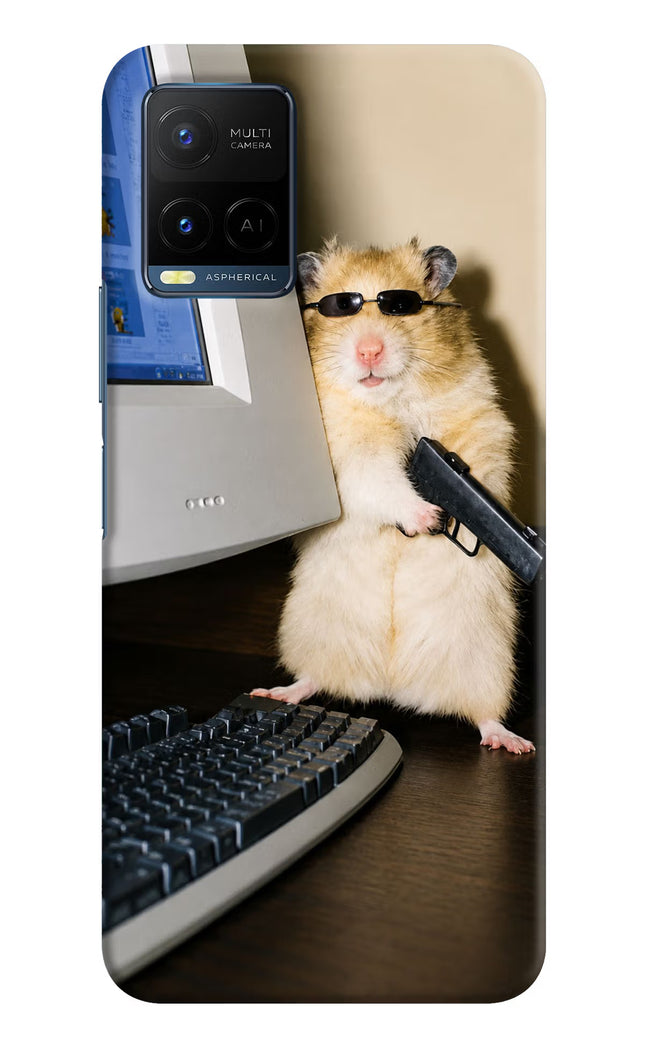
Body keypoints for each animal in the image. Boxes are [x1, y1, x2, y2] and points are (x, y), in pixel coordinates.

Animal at [252, 238, 534, 754]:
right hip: (311, 632)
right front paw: (428, 518)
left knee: (484, 714)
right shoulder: (348, 457)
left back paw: (512, 742)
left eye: (401, 306)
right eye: (340, 307)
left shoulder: (481, 424)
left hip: (488, 661)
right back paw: (277, 692)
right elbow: (380, 481)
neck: (389, 401)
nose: (369, 351)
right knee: (313, 678)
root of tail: (393, 686)